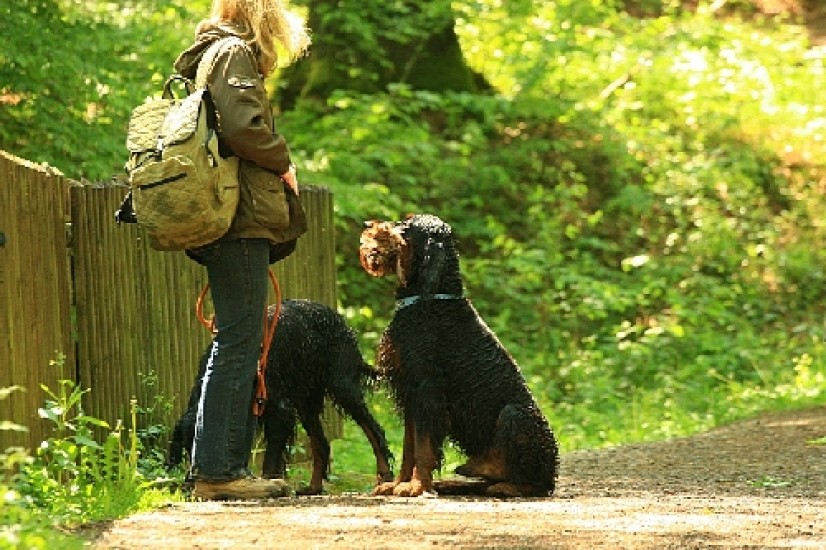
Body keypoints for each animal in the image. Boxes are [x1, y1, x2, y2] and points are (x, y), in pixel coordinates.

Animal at [167, 299, 394, 495]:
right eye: (186, 448)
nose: (188, 485)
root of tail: (337, 317)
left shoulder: (280, 410)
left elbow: (270, 459)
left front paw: (271, 485)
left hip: (342, 386)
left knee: (375, 431)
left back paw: (385, 476)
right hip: (306, 401)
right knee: (321, 443)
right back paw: (313, 487)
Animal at [359, 214, 558, 498]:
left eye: (405, 227)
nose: (367, 225)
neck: (433, 300)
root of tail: (553, 469)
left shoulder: (427, 393)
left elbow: (423, 449)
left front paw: (417, 485)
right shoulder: (411, 396)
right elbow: (410, 447)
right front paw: (399, 483)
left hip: (516, 415)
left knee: (533, 483)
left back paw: (502, 483)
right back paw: (458, 480)